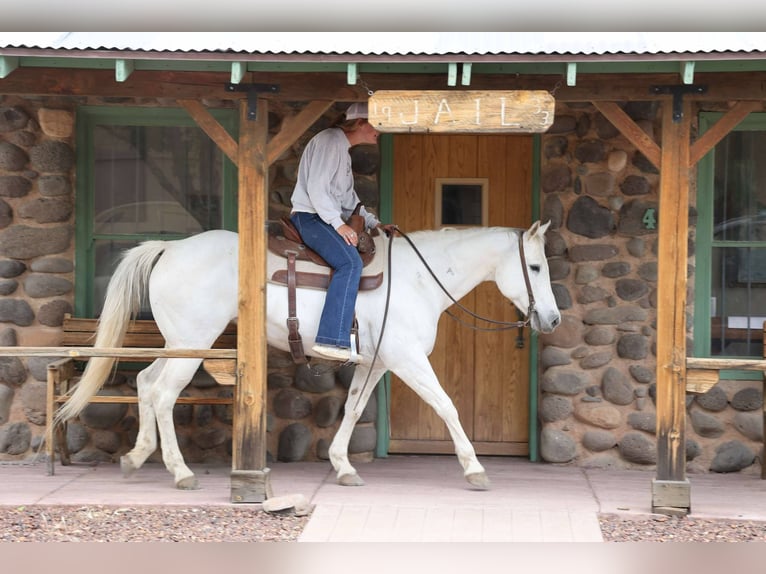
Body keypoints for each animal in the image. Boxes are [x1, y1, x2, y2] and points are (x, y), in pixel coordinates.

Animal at [54, 221, 560, 490]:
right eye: (535, 267)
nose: (552, 319)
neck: (417, 279)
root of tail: (171, 248)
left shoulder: (376, 364)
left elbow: (353, 411)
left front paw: (342, 466)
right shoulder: (407, 360)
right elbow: (447, 406)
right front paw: (475, 469)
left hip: (180, 343)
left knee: (145, 384)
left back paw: (137, 457)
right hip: (192, 342)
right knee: (162, 394)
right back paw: (180, 473)